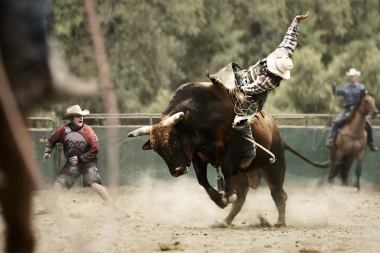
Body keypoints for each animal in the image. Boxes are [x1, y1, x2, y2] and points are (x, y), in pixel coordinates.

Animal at [127, 82, 284, 226]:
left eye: (174, 142)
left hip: (274, 167)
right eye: (158, 151)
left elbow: (225, 168)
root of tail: (273, 125)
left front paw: (228, 195)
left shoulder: (233, 147)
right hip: (240, 175)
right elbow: (202, 180)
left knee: (278, 194)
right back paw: (225, 222)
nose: (178, 171)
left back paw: (280, 221)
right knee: (241, 199)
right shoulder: (197, 155)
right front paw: (220, 200)